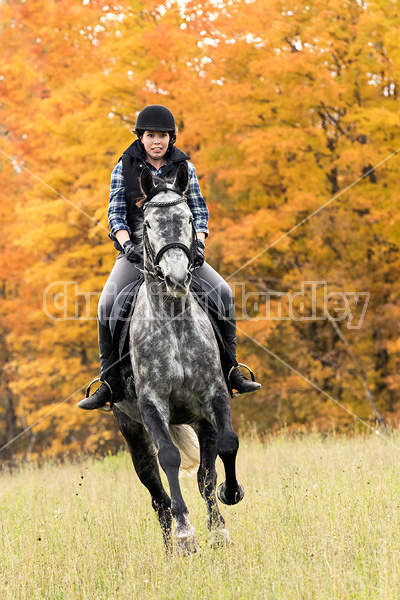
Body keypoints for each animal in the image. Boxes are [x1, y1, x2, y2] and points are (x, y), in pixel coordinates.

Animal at [112, 163, 244, 552]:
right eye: (147, 223)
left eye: (187, 218)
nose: (175, 278)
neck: (173, 322)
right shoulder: (152, 404)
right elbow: (169, 460)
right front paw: (187, 533)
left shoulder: (213, 397)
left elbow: (222, 453)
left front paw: (224, 514)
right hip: (132, 429)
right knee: (156, 492)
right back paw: (172, 547)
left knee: (201, 473)